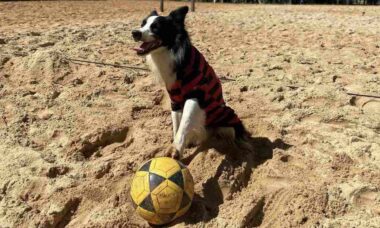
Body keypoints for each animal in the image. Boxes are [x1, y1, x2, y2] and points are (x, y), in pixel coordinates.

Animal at [132, 5, 251, 159]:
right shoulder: (175, 100)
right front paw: (178, 145)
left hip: (228, 119)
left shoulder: (195, 95)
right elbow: (177, 123)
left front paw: (176, 148)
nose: (135, 33)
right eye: (142, 24)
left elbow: (185, 122)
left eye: (156, 27)